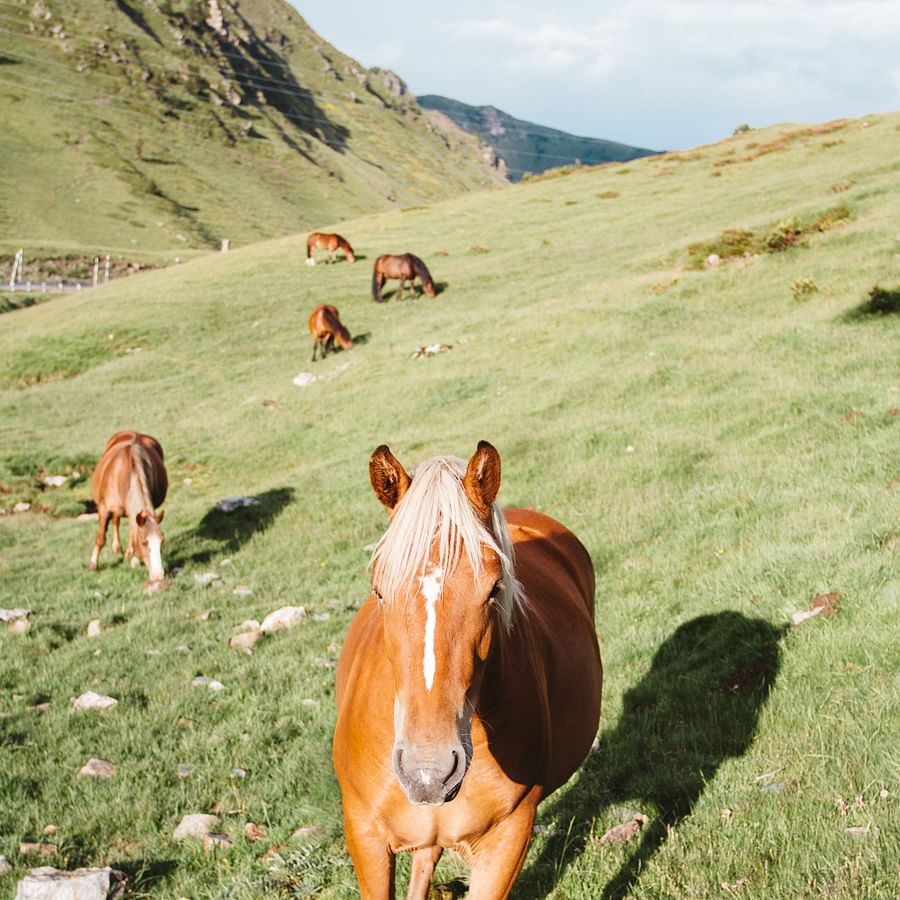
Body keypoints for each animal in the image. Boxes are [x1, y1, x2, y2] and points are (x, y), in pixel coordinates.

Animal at [89, 431, 168, 583]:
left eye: (161, 541)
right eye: (144, 543)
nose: (158, 576)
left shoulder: (135, 514)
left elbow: (133, 532)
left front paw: (134, 559)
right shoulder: (103, 510)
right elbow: (100, 538)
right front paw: (93, 564)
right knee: (115, 521)